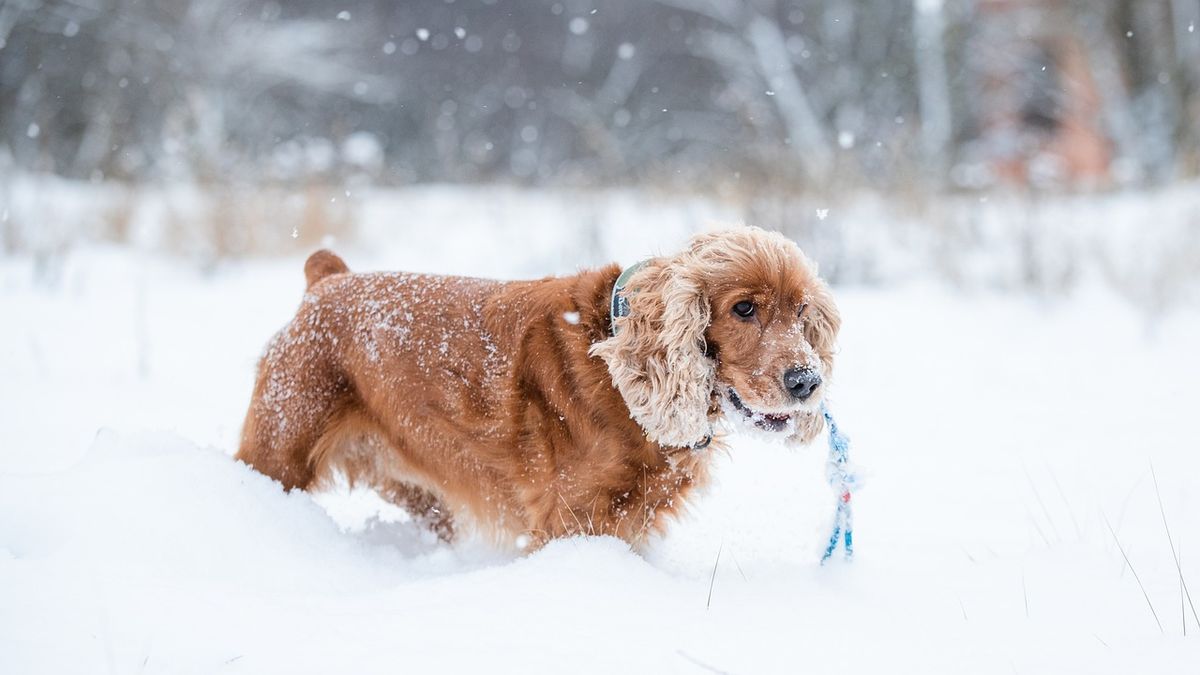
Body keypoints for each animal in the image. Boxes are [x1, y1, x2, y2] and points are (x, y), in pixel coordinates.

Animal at [238, 225, 840, 547]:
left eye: (802, 311)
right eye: (743, 309)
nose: (807, 381)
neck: (617, 367)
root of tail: (326, 281)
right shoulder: (571, 518)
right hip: (278, 449)